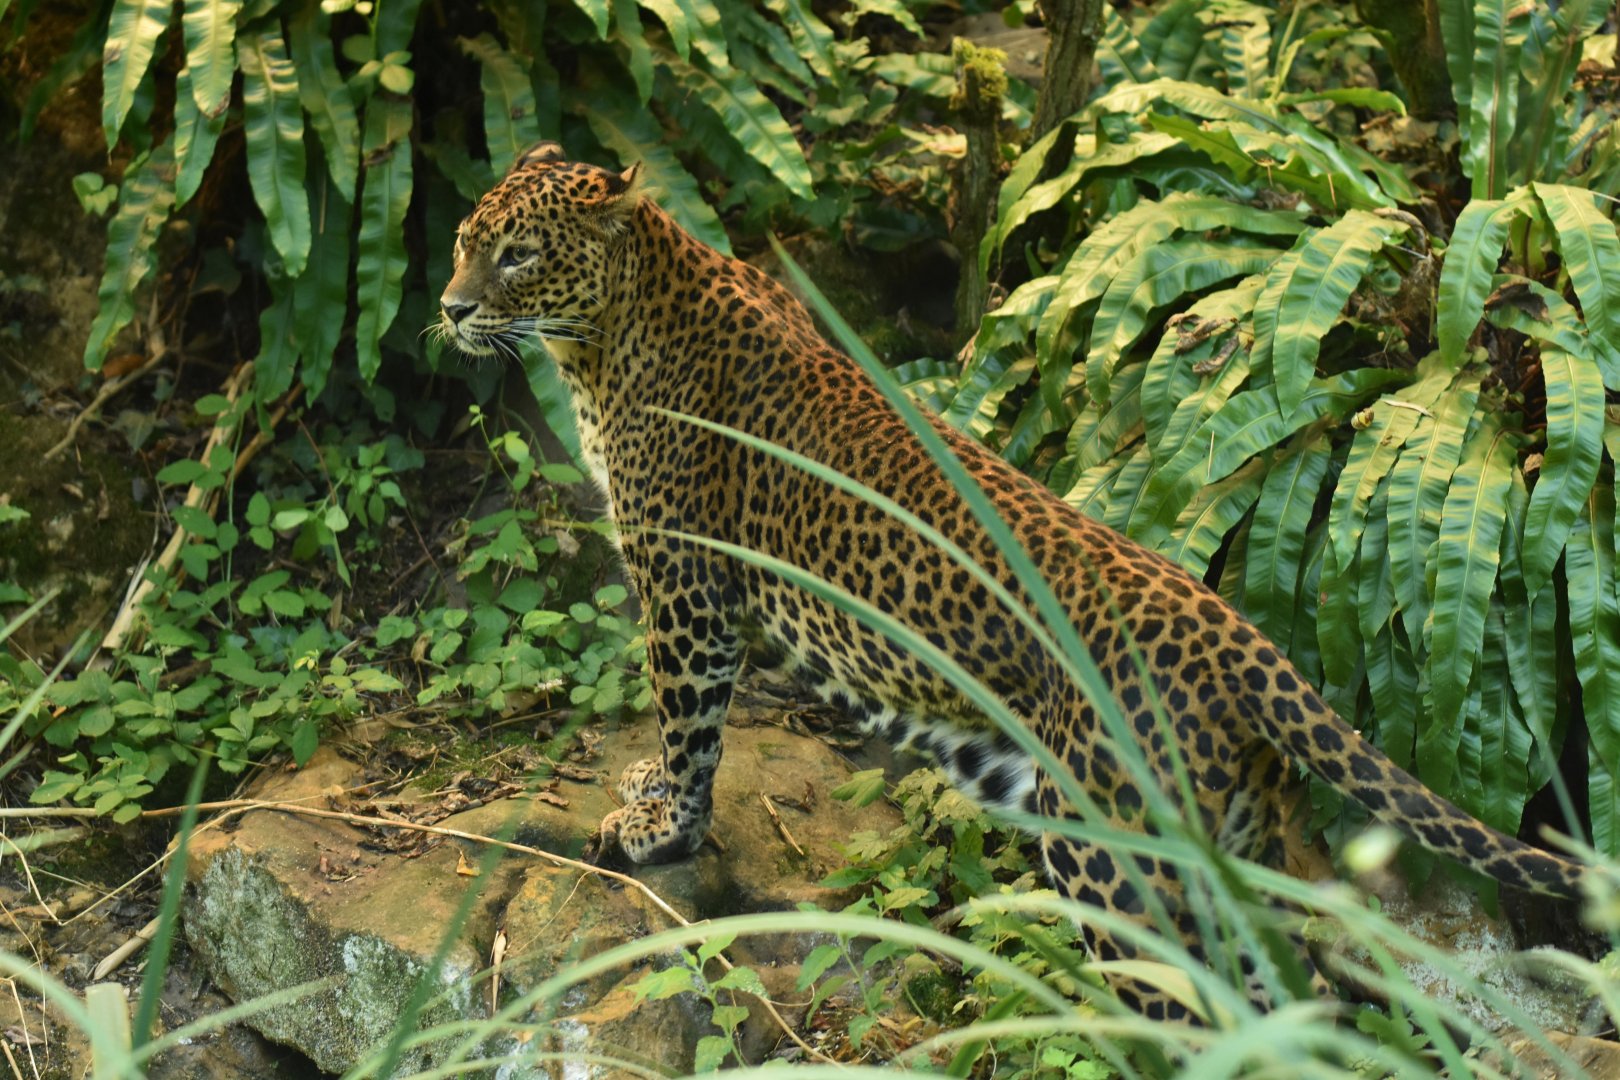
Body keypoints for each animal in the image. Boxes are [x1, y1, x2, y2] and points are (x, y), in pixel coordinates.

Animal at [438, 142, 1587, 1020]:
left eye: (519, 253)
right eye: (461, 239)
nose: (448, 310)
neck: (611, 333)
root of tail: (1241, 638)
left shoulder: (682, 582)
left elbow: (688, 720)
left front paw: (661, 825)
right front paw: (647, 795)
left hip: (1114, 862)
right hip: (1215, 854)